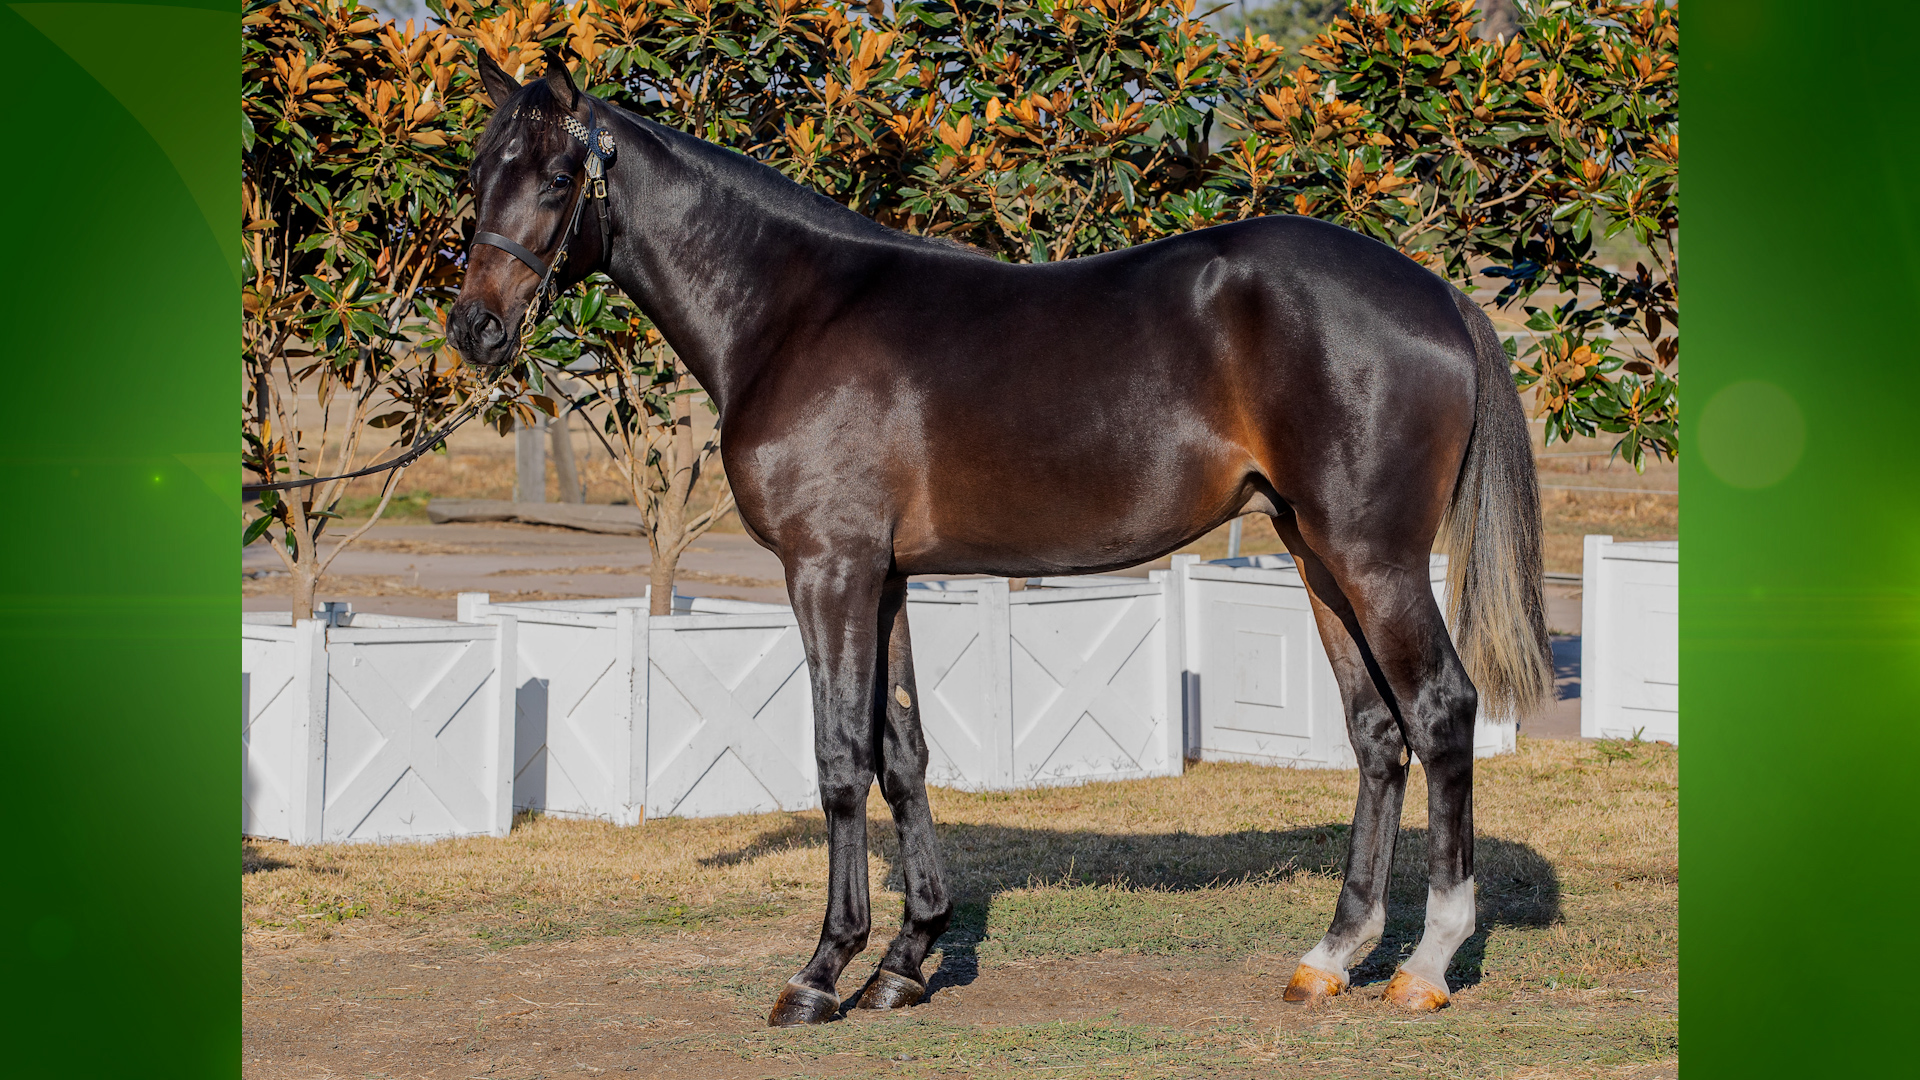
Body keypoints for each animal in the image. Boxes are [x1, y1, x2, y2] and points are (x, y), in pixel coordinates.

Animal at [447, 51, 1552, 1026]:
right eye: (477, 175)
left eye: (557, 177)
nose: (474, 330)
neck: (793, 310)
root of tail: (1438, 294)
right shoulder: (885, 577)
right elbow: (903, 753)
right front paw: (907, 958)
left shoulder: (828, 568)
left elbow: (841, 757)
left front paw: (822, 973)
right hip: (1317, 557)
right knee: (1376, 734)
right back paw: (1332, 955)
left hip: (1374, 560)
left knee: (1441, 712)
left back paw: (1427, 962)